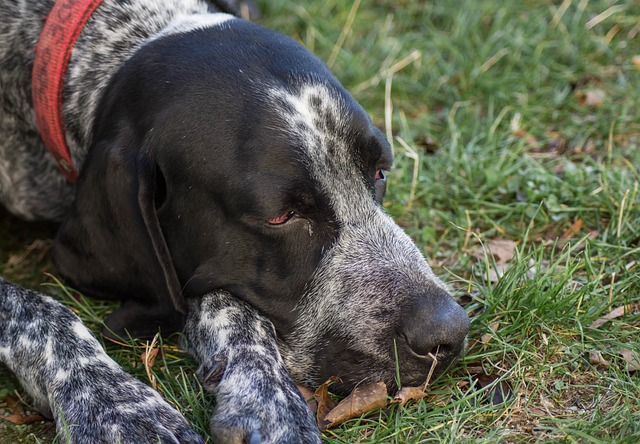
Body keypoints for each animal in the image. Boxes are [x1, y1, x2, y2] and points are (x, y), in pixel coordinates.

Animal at [0, 0, 470, 444]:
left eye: (379, 171)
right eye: (280, 216)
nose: (449, 332)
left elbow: (232, 307)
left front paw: (266, 395)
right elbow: (41, 309)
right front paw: (117, 406)